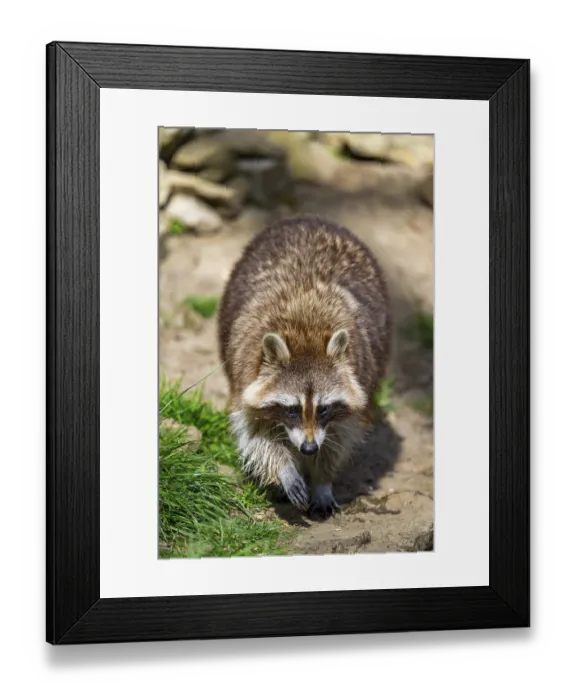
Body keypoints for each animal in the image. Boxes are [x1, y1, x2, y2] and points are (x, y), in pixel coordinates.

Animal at [218, 216, 391, 516]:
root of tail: (310, 219)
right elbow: (256, 435)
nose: (309, 448)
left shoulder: (361, 374)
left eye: (323, 409)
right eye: (291, 410)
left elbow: (341, 436)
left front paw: (322, 480)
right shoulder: (245, 372)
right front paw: (286, 469)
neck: (306, 335)